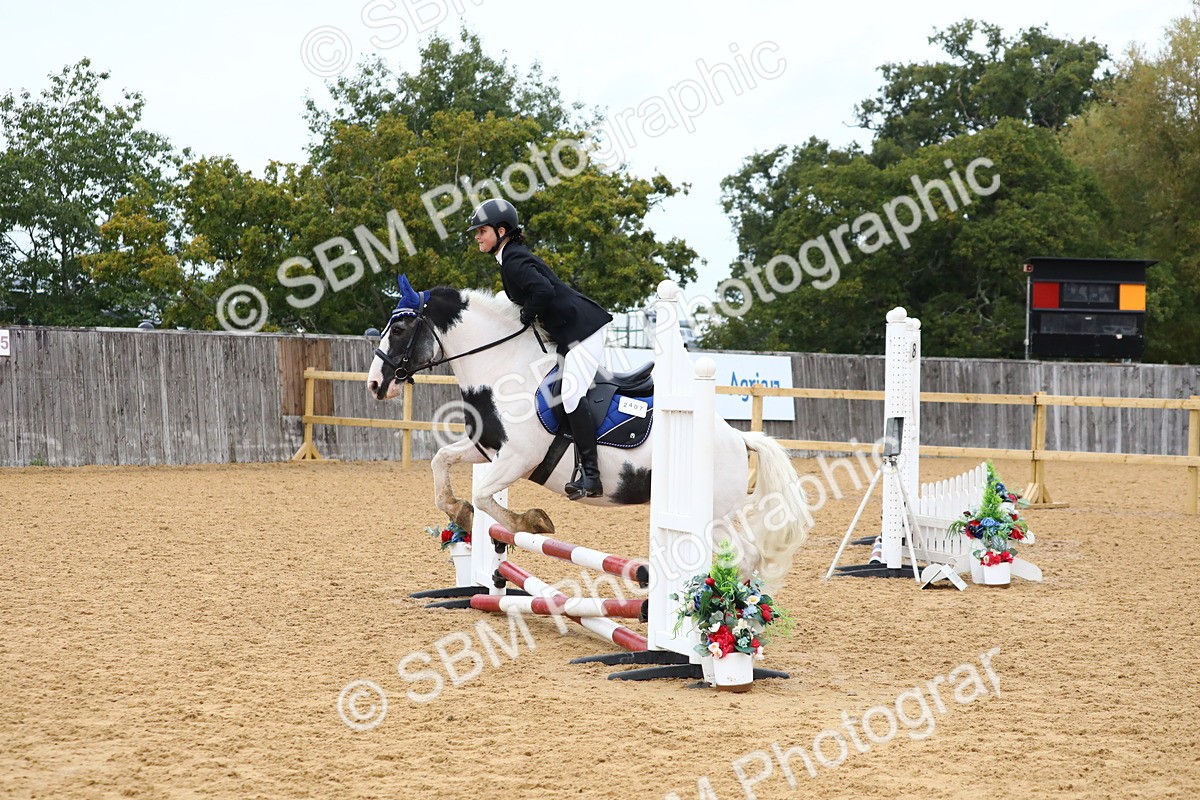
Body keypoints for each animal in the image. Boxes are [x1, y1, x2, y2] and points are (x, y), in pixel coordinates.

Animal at [367, 275, 810, 582]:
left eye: (400, 330)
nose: (374, 384)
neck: (504, 368)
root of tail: (738, 437)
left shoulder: (519, 458)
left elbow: (485, 495)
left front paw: (530, 522)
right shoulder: (486, 449)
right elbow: (442, 464)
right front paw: (460, 512)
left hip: (713, 514)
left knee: (744, 556)